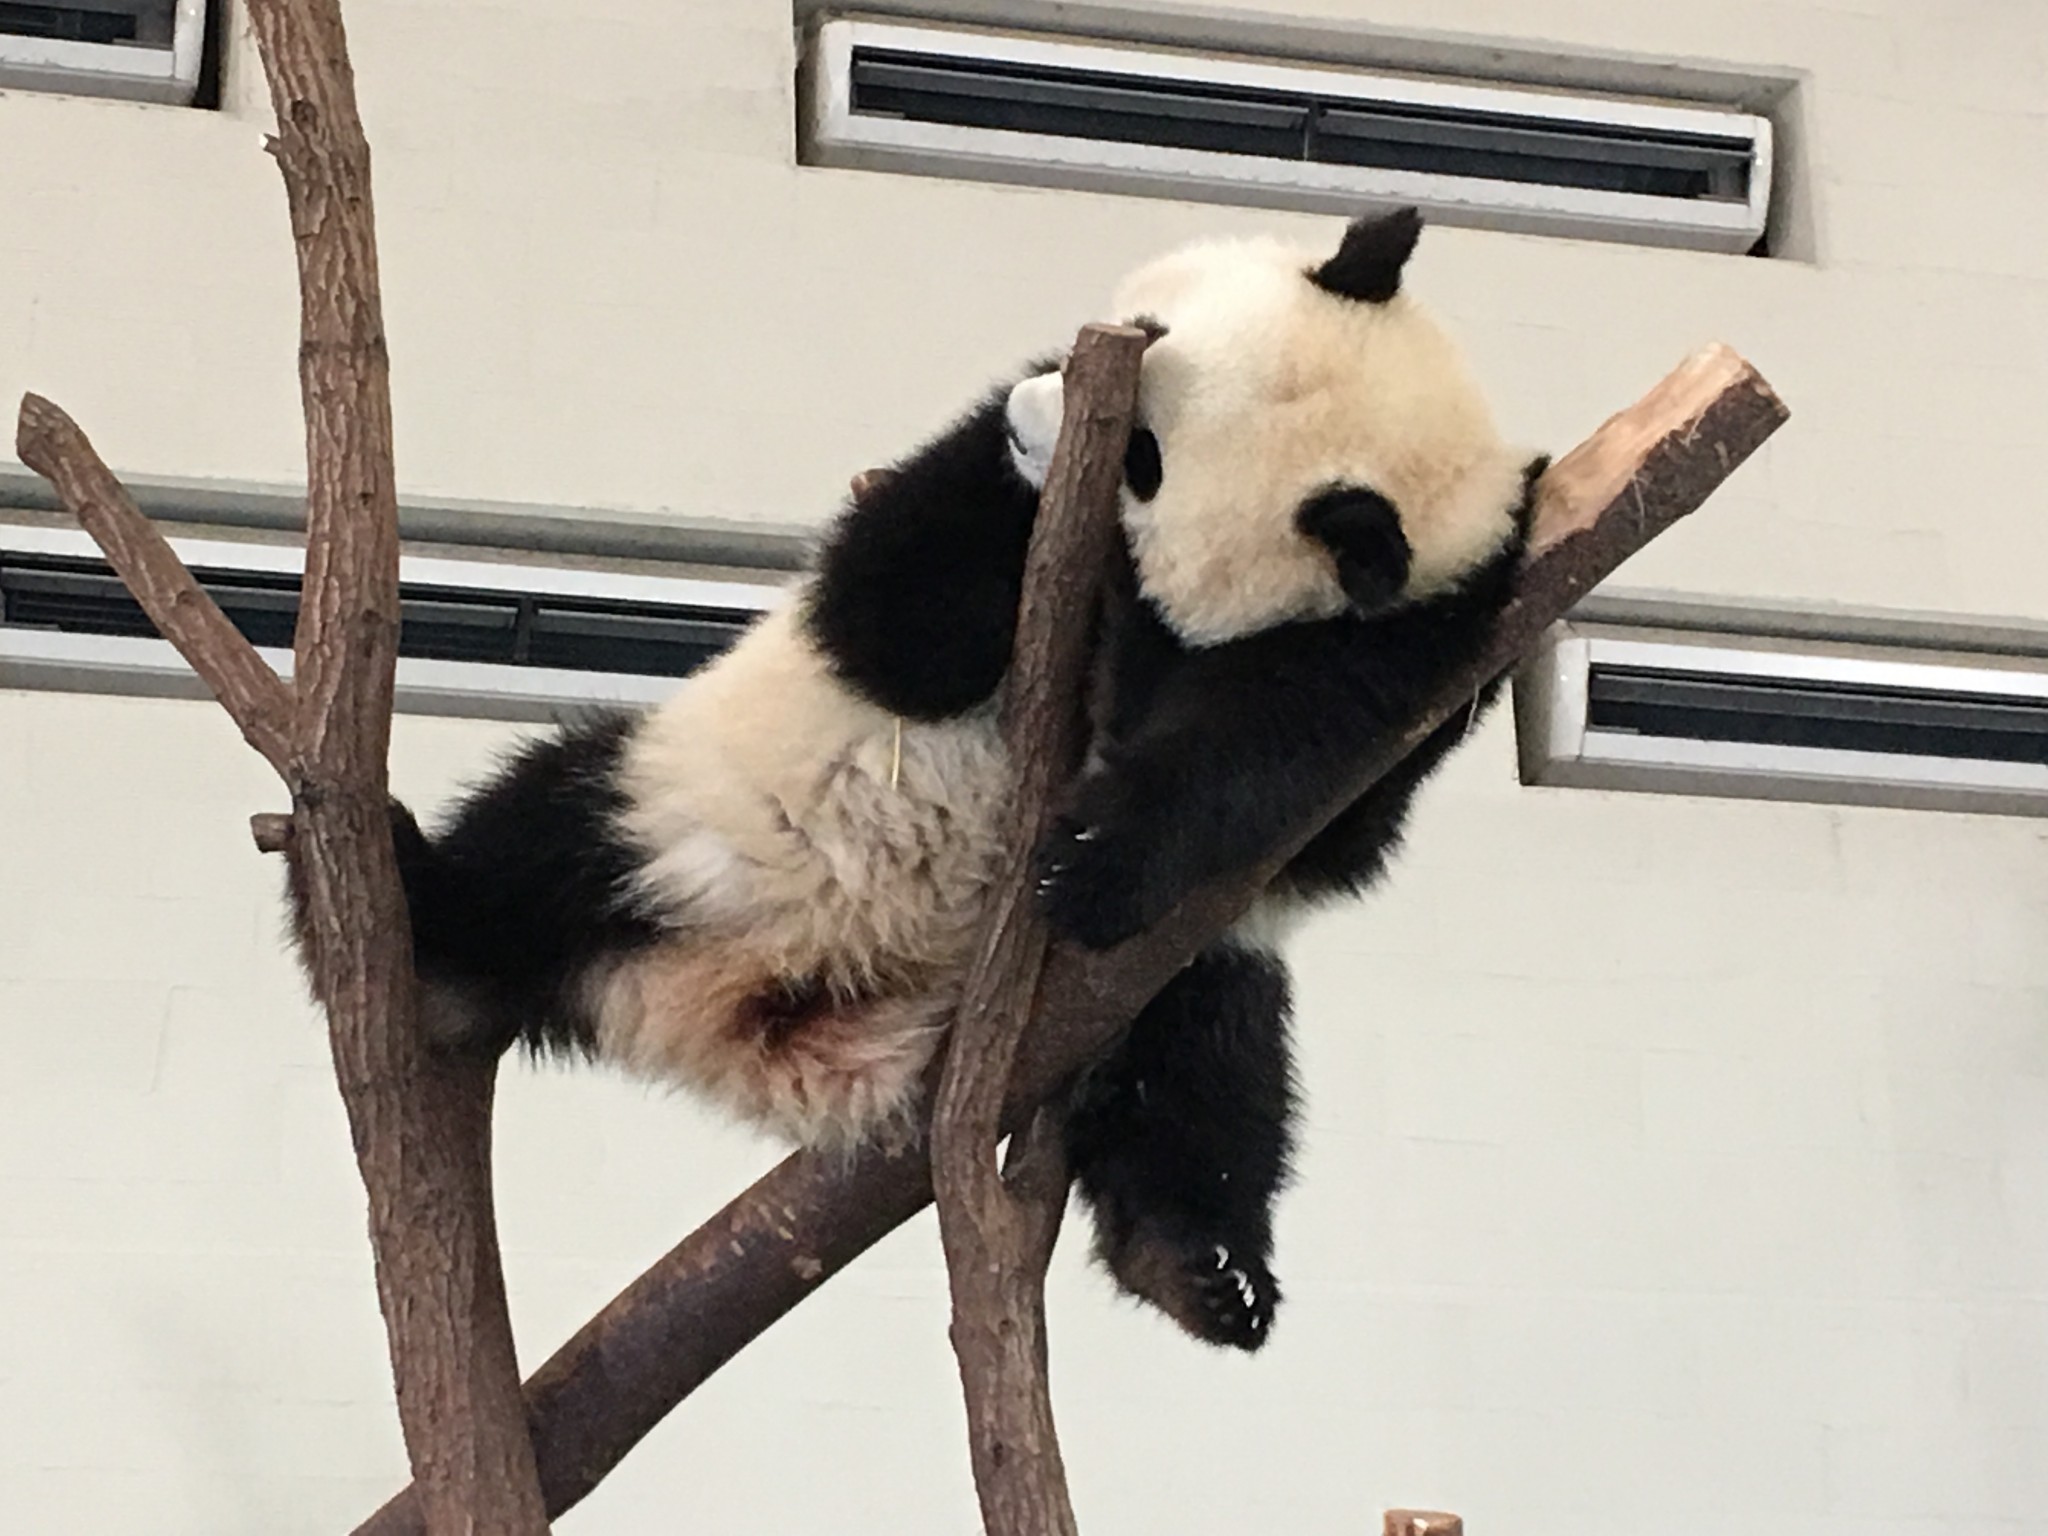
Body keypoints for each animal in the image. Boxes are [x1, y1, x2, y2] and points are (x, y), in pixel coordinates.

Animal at [299, 207, 1541, 1352]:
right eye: (1142, 336)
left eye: (1145, 461)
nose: (1031, 419)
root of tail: (739, 1025)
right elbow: (894, 617)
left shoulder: (1405, 646)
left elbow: (1289, 788)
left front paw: (1098, 857)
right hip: (688, 821)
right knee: (543, 841)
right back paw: (412, 925)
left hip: (1149, 982)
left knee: (1203, 1074)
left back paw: (1198, 1267)